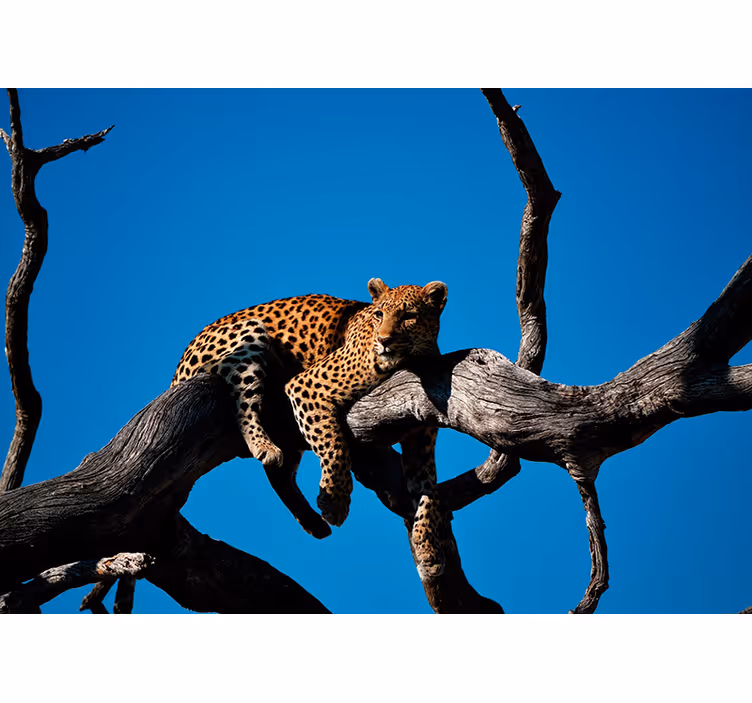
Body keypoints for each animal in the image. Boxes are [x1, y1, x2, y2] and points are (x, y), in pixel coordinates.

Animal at [171, 278, 448, 577]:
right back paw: (264, 446)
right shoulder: (307, 386)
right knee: (242, 402)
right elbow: (334, 444)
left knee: (279, 474)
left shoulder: (420, 444)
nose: (383, 341)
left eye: (409, 316)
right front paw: (335, 502)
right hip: (249, 335)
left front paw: (429, 548)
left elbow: (428, 491)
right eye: (379, 315)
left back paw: (312, 523)